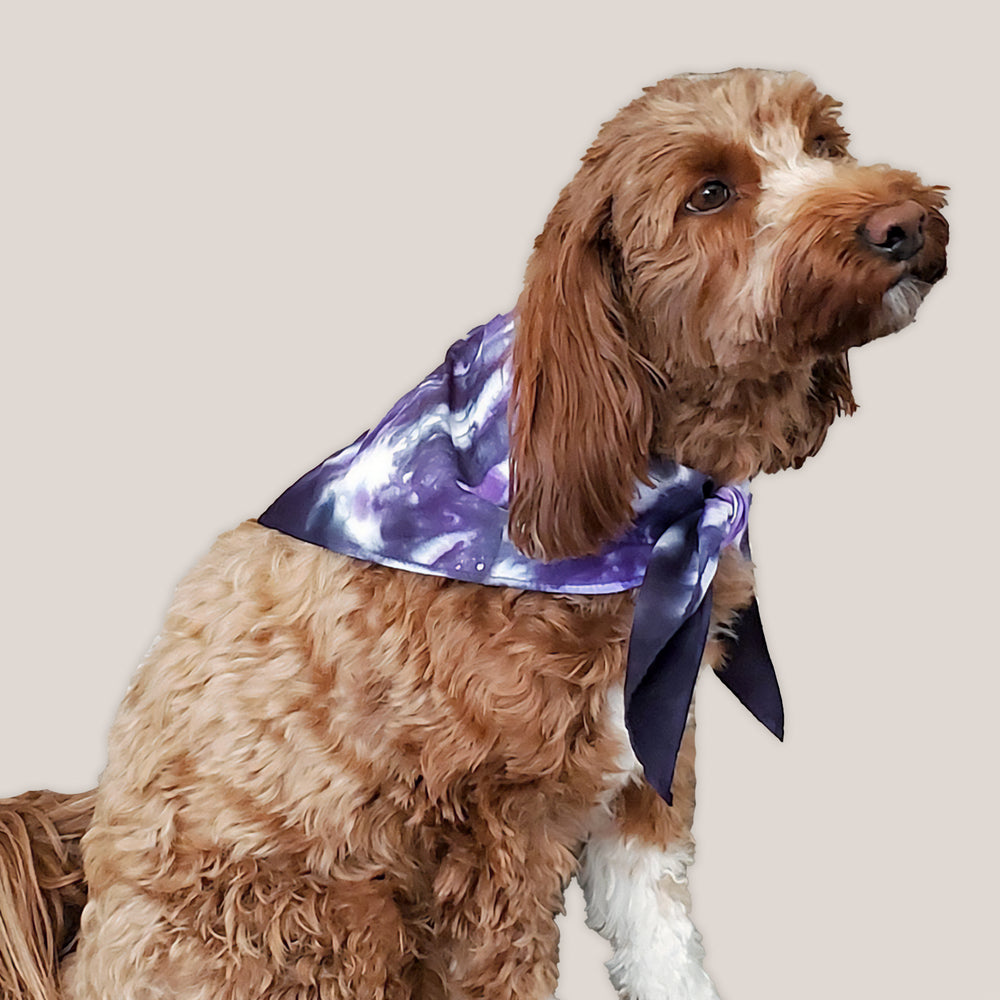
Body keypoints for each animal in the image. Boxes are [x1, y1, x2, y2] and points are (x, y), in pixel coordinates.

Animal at [0, 70, 944, 1000]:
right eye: (709, 194)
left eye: (825, 143)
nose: (904, 222)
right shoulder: (494, 831)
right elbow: (508, 963)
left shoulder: (641, 770)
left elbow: (663, 939)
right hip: (335, 916)